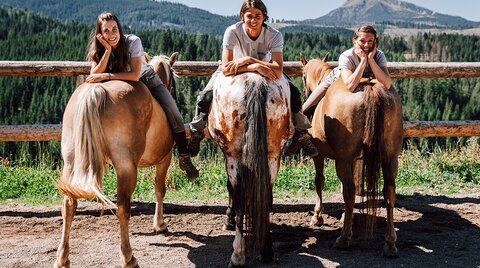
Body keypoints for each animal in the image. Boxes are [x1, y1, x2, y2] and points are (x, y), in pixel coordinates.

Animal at [53, 52, 180, 268]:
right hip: (126, 167)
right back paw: (128, 257)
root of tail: (96, 91)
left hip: (71, 163)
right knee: (122, 207)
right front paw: (159, 224)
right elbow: (159, 189)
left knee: (69, 204)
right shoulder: (165, 158)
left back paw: (62, 258)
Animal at [208, 71, 290, 266]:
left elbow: (230, 189)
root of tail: (255, 82)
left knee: (239, 197)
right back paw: (266, 250)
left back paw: (237, 255)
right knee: (265, 192)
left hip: (234, 156)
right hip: (273, 154)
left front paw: (229, 219)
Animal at [302, 55, 404, 258]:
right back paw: (390, 244)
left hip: (343, 159)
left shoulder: (320, 155)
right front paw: (344, 216)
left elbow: (320, 181)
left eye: (302, 76)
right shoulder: (355, 159)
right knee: (389, 191)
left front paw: (317, 216)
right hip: (390, 157)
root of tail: (370, 89)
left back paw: (343, 238)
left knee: (349, 190)